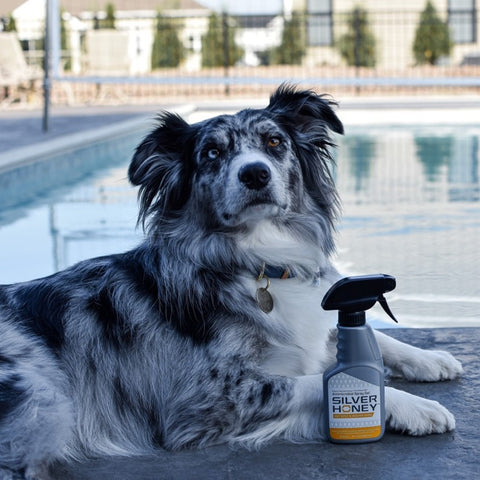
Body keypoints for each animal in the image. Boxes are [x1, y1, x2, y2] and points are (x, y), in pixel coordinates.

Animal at [0, 84, 464, 478]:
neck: (259, 262)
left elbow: (358, 334)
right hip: (45, 400)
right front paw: (416, 407)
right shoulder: (207, 398)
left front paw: (430, 359)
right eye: (211, 153)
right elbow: (313, 382)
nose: (255, 174)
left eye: (274, 142)